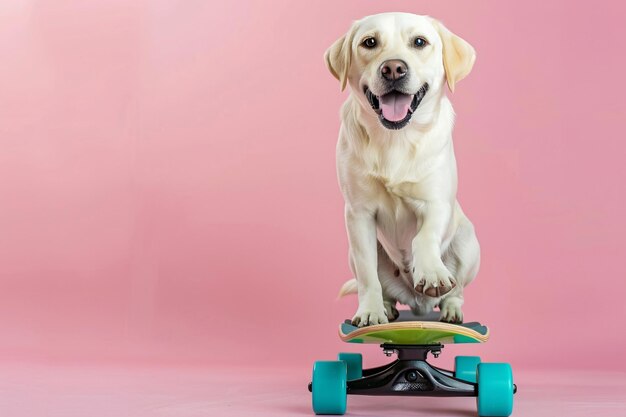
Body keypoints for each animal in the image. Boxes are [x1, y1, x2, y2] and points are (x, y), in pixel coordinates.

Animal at [326, 12, 478, 324]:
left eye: (419, 42)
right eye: (369, 42)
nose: (393, 69)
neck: (395, 138)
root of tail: (417, 304)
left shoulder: (437, 203)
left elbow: (424, 236)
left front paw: (431, 272)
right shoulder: (358, 214)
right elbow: (367, 274)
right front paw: (370, 311)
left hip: (468, 242)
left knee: (456, 291)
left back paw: (451, 309)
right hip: (354, 252)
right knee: (378, 282)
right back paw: (386, 306)